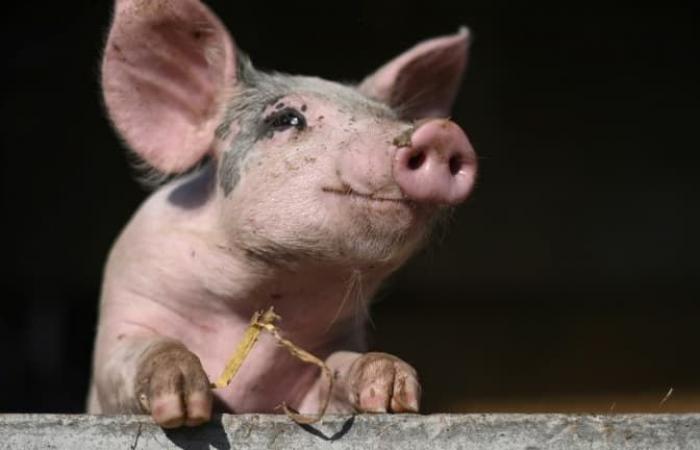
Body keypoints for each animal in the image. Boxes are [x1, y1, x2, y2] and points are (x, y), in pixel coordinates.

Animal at [89, 0, 476, 428]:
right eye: (286, 119)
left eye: (394, 117)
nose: (442, 133)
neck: (264, 292)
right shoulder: (125, 316)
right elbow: (140, 352)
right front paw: (181, 405)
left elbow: (340, 367)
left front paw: (393, 390)